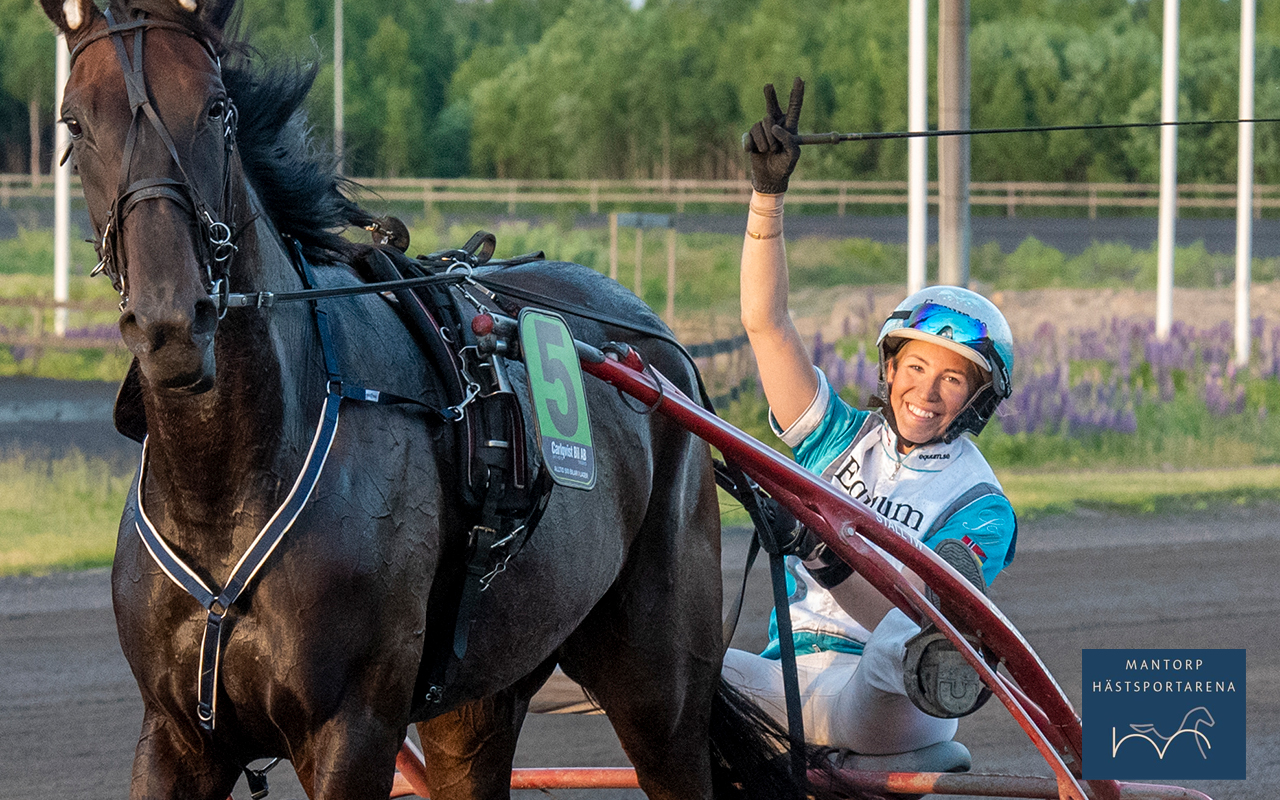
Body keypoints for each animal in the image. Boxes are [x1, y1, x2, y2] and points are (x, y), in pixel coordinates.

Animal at [40, 1, 824, 798]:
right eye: (74, 121)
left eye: (218, 108)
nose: (172, 319)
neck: (228, 480)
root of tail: (657, 342)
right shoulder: (176, 733)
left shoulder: (352, 728)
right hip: (482, 688)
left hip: (658, 682)